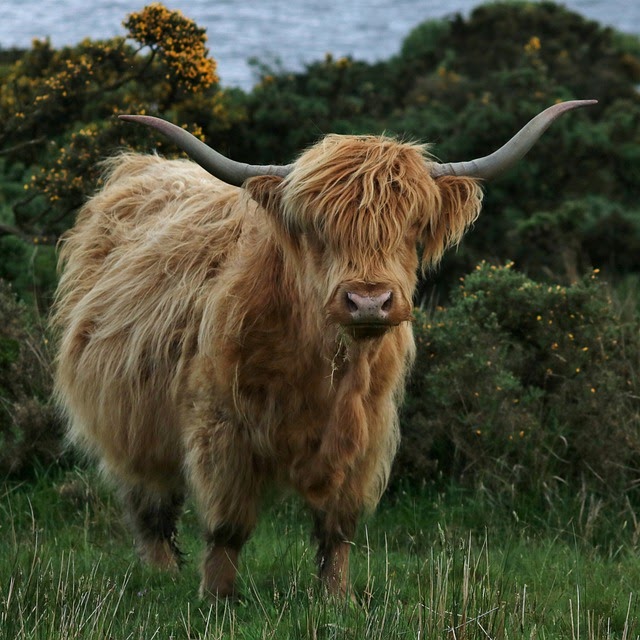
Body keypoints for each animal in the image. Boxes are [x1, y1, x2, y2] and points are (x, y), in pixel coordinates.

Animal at [52, 100, 595, 600]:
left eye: (411, 229)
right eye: (318, 231)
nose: (369, 300)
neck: (321, 366)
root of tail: (141, 164)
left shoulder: (366, 432)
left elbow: (339, 526)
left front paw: (337, 597)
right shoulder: (221, 428)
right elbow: (227, 525)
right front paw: (218, 597)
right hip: (128, 420)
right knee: (150, 502)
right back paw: (161, 574)